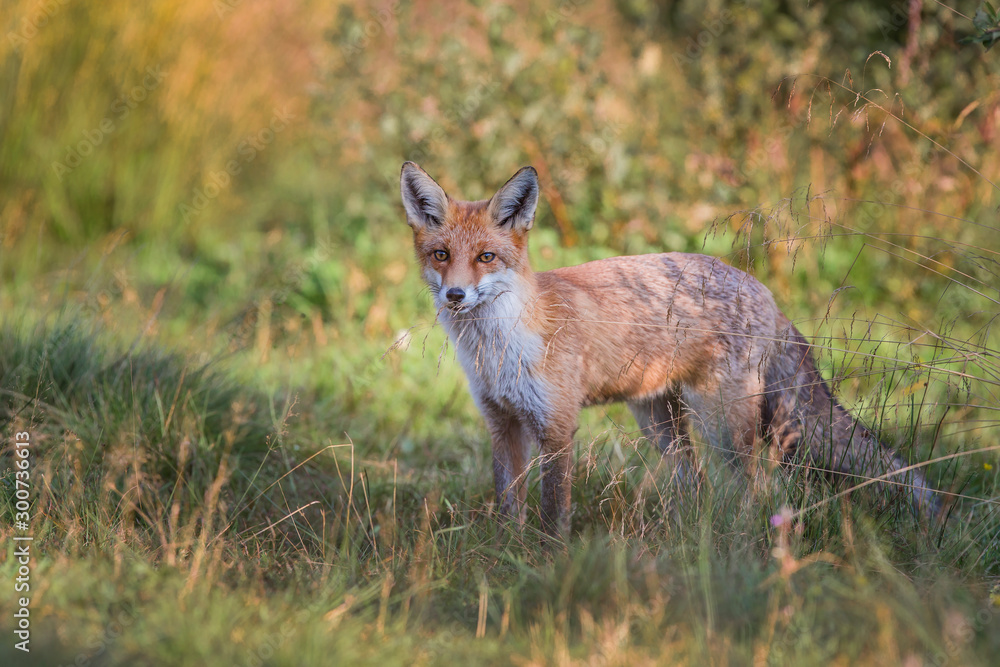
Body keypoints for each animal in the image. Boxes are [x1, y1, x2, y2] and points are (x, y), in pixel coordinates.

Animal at [398, 162, 936, 536]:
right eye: (441, 255)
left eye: (486, 257)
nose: (455, 295)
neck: (499, 351)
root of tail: (763, 291)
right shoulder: (502, 423)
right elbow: (508, 504)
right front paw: (507, 555)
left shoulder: (556, 426)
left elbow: (554, 510)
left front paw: (549, 560)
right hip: (659, 422)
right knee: (695, 483)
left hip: (722, 423)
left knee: (758, 487)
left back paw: (743, 539)